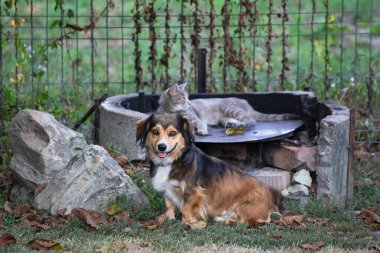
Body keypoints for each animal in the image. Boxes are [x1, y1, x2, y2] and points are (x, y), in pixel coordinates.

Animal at [137, 113, 282, 229]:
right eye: (155, 132)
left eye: (172, 133)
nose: (161, 147)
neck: (173, 161)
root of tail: (271, 196)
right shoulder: (167, 190)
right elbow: (169, 205)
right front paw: (168, 218)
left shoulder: (192, 191)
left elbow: (185, 207)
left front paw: (189, 222)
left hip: (244, 205)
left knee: (246, 221)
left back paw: (222, 220)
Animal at [157, 83, 300, 135]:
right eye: (183, 98)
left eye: (187, 97)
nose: (189, 103)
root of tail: (248, 104)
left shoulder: (194, 117)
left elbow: (200, 123)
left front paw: (202, 130)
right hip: (224, 117)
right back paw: (232, 125)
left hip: (230, 108)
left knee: (251, 121)